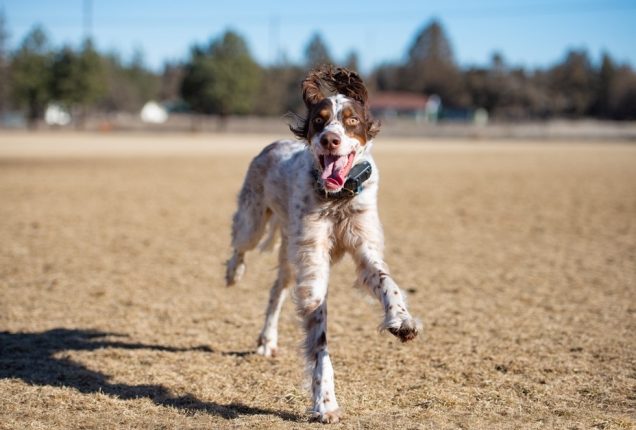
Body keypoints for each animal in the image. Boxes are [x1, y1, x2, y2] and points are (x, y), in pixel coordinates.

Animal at [226, 67, 420, 424]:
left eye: (352, 120)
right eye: (320, 120)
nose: (331, 139)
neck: (337, 199)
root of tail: (273, 144)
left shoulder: (364, 247)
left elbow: (386, 281)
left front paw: (402, 321)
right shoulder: (313, 263)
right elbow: (319, 339)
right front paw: (325, 402)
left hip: (289, 253)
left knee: (276, 290)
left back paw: (267, 339)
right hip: (255, 221)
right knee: (240, 245)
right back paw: (234, 273)